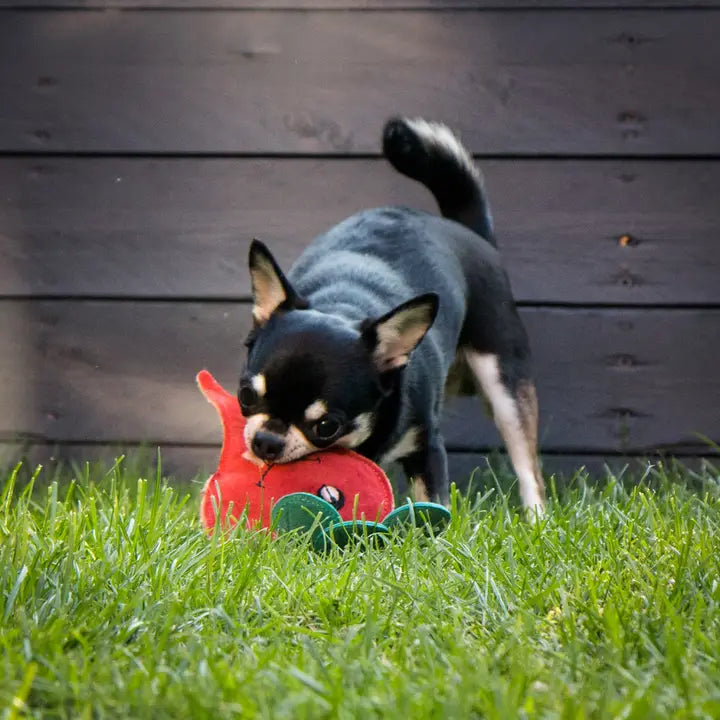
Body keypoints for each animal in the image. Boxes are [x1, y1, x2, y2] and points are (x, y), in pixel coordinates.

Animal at [239, 116, 544, 516]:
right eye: (245, 395)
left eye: (327, 426)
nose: (266, 441)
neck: (343, 304)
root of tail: (466, 229)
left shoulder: (427, 447)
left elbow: (432, 502)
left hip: (504, 380)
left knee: (528, 465)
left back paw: (537, 518)